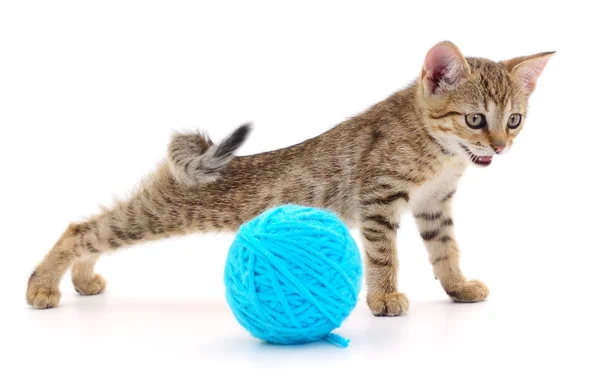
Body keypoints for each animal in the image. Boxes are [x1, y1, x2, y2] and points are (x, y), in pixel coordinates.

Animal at [27, 42, 552, 316]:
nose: (499, 148)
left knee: (94, 231)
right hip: (160, 212)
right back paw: (43, 285)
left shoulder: (433, 205)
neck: (440, 154)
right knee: (83, 228)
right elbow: (385, 256)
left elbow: (446, 251)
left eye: (514, 121)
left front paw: (457, 287)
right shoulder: (379, 200)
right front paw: (383, 297)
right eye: (475, 120)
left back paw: (83, 279)